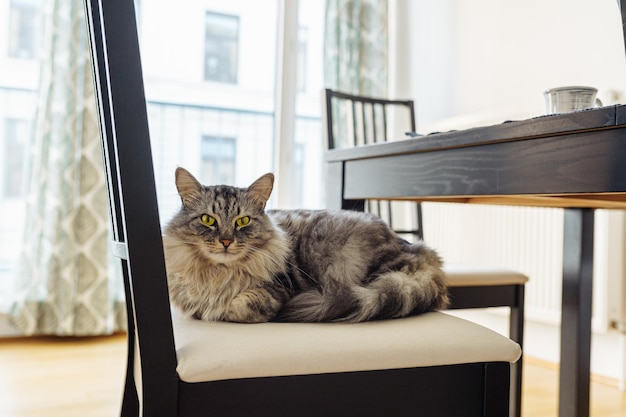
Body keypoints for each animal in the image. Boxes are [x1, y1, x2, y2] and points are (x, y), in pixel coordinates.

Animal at [163, 167, 446, 322]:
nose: (225, 241)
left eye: (243, 221)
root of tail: (417, 248)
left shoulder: (280, 291)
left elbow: (238, 305)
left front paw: (224, 308)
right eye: (208, 220)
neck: (217, 274)